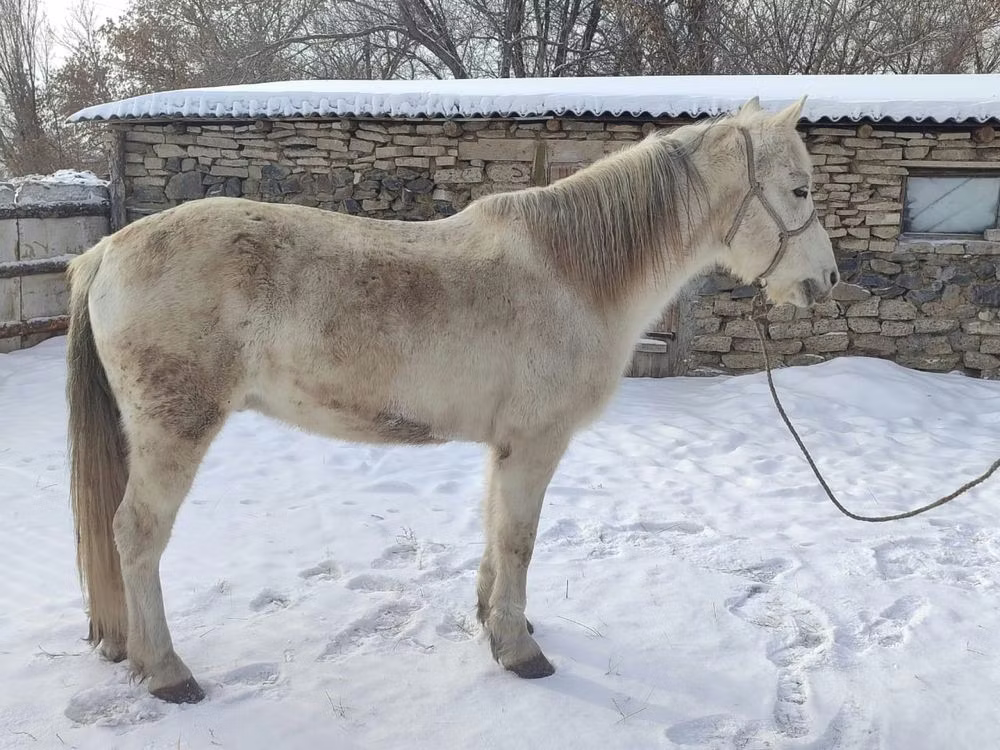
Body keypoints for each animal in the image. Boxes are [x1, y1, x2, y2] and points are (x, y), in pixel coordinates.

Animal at [65, 95, 838, 704]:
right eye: (800, 190)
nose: (826, 280)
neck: (573, 275)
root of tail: (106, 252)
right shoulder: (537, 443)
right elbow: (521, 540)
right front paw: (521, 653)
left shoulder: (506, 446)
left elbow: (496, 530)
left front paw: (496, 622)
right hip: (174, 429)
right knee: (137, 535)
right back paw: (168, 673)